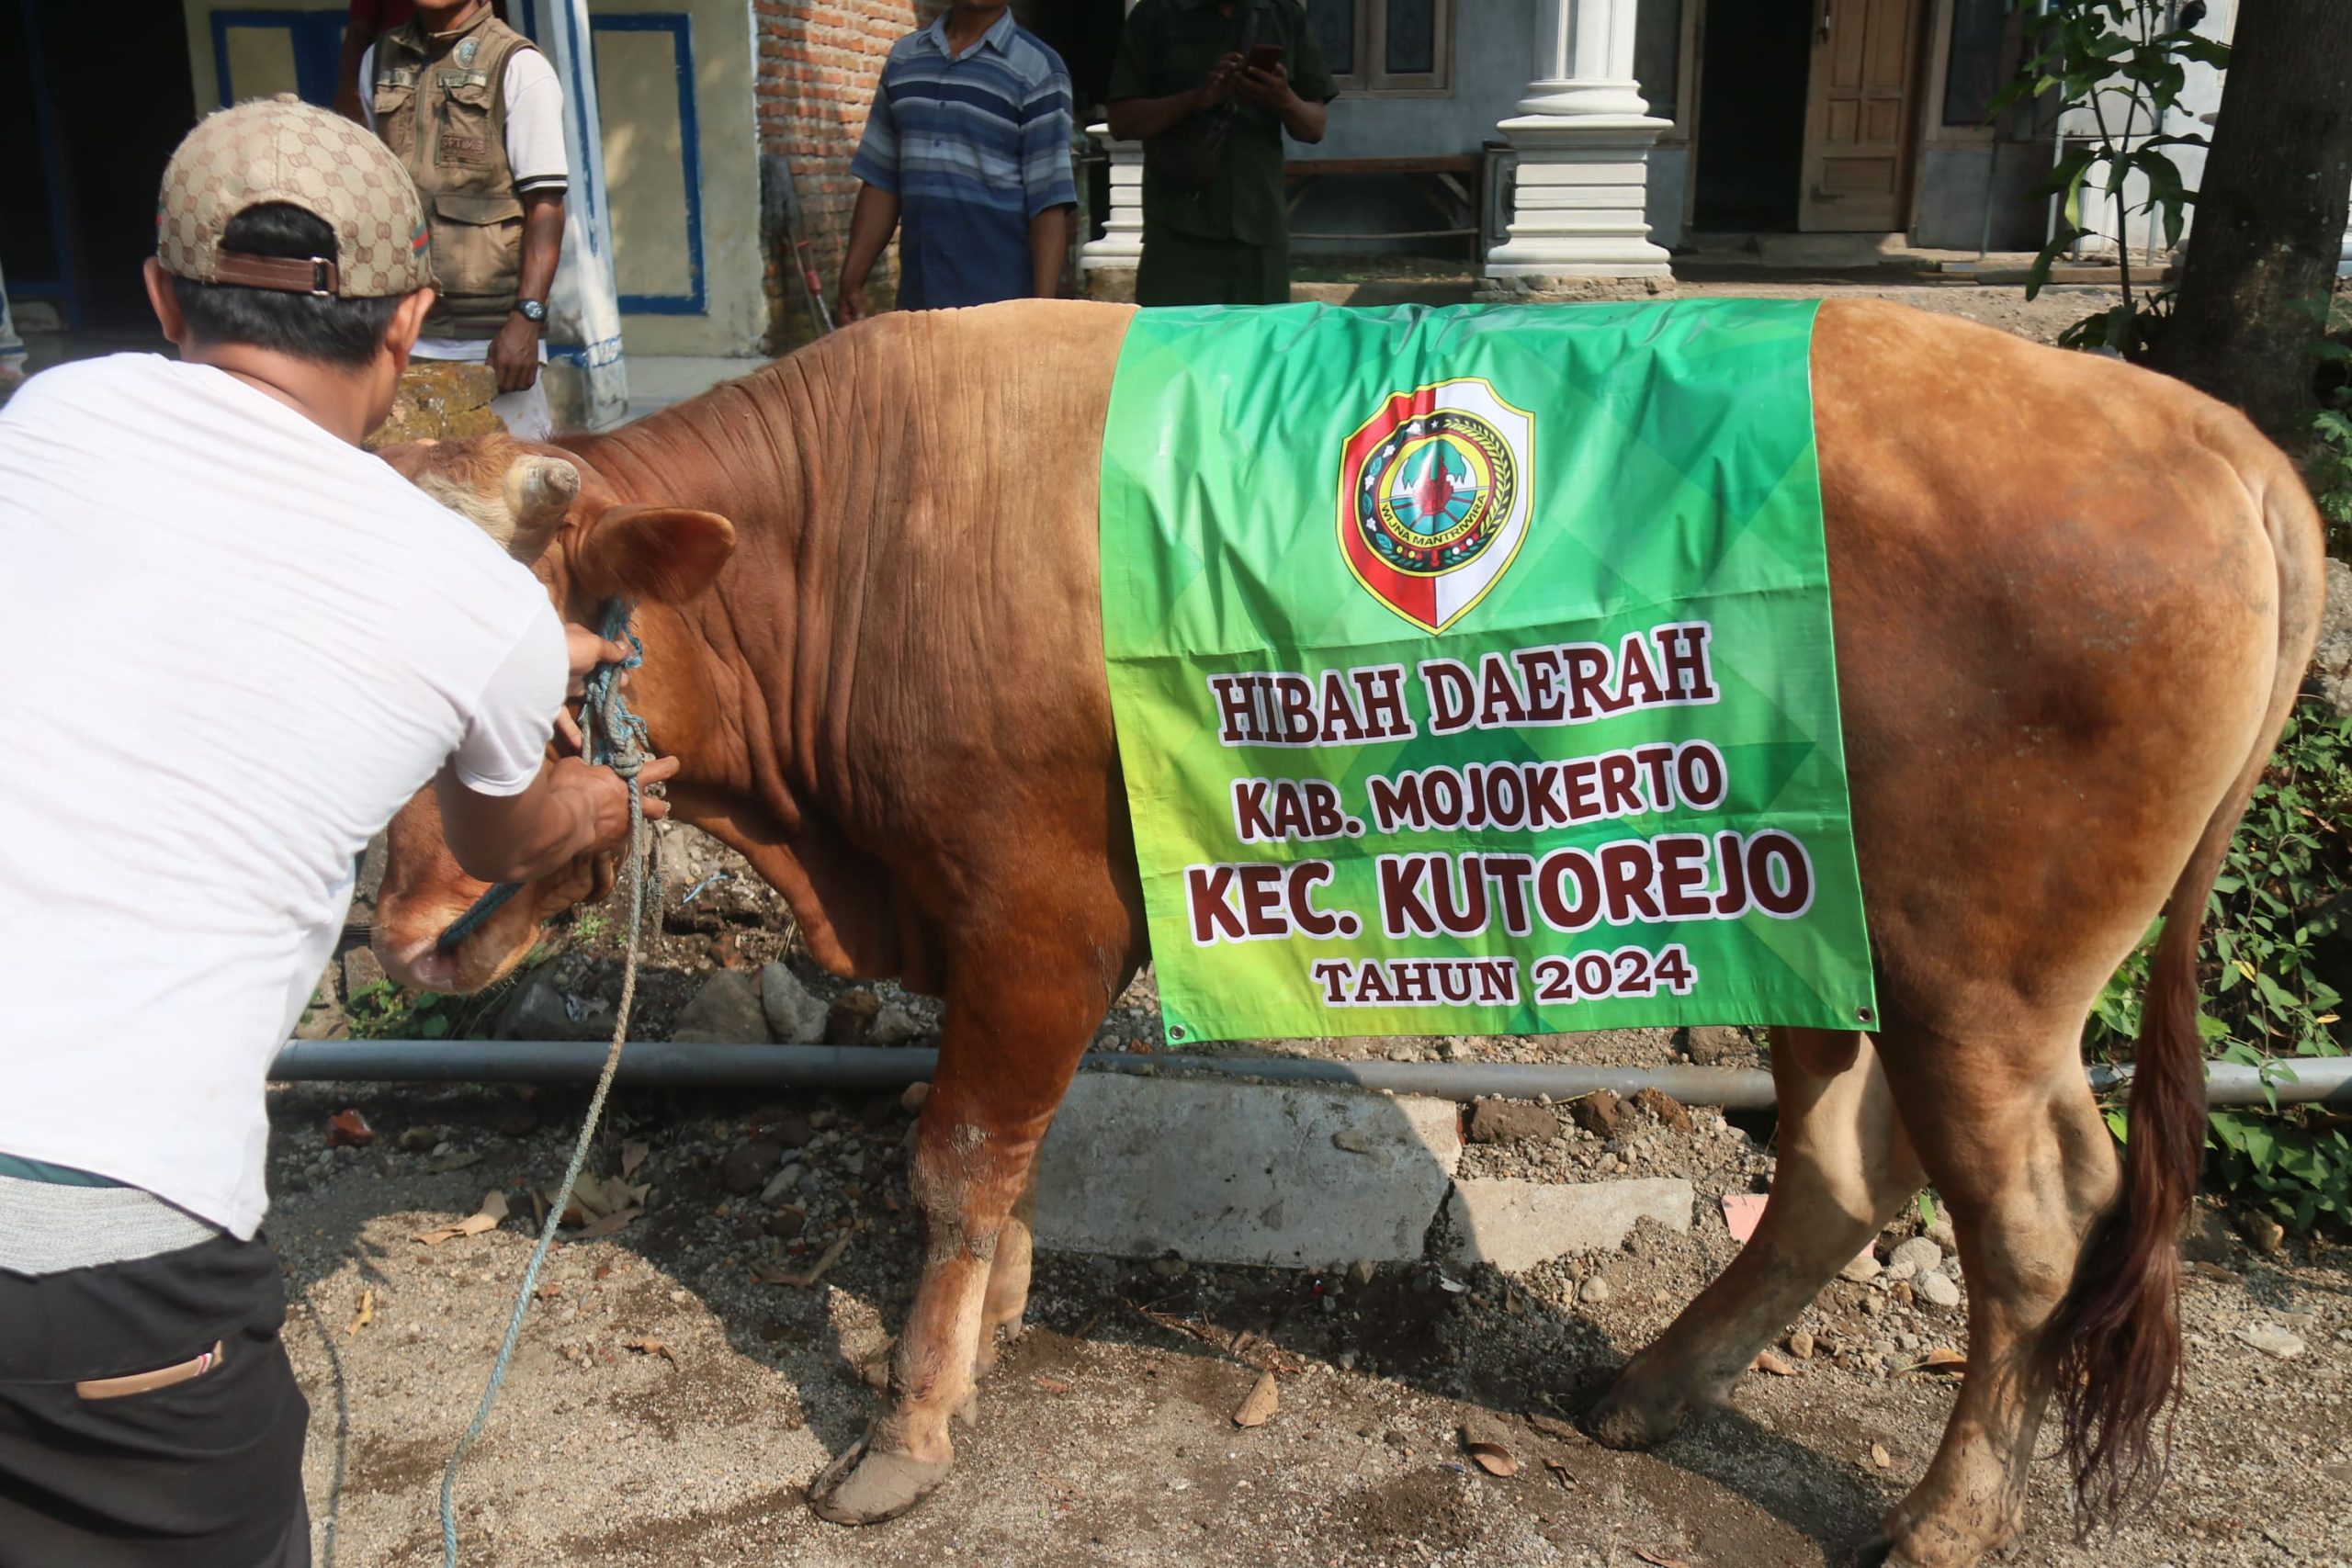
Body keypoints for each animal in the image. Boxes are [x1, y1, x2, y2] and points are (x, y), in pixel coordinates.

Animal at [371, 300, 2333, 1561]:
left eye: (516, 650)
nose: (397, 920)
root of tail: (2211, 430)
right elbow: (1005, 1159)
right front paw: (992, 1323)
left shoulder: (1031, 904)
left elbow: (956, 1152)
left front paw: (910, 1425)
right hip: (1814, 929)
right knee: (1850, 1173)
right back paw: (1649, 1388)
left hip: (1978, 979)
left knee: (2035, 1225)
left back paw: (1940, 1518)